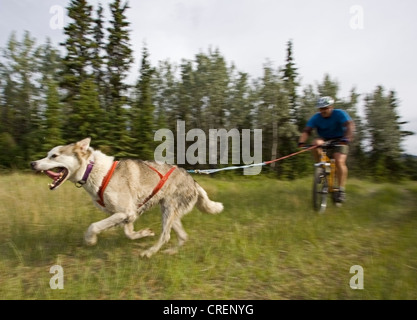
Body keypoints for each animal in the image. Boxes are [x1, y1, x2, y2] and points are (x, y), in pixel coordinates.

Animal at [30, 138, 223, 258]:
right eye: (48, 154)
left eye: (54, 155)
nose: (33, 163)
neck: (93, 171)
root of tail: (194, 181)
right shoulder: (127, 215)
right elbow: (129, 233)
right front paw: (144, 233)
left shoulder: (125, 212)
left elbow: (94, 226)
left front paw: (90, 240)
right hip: (170, 214)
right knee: (182, 236)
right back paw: (169, 252)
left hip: (168, 211)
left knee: (166, 236)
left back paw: (149, 252)